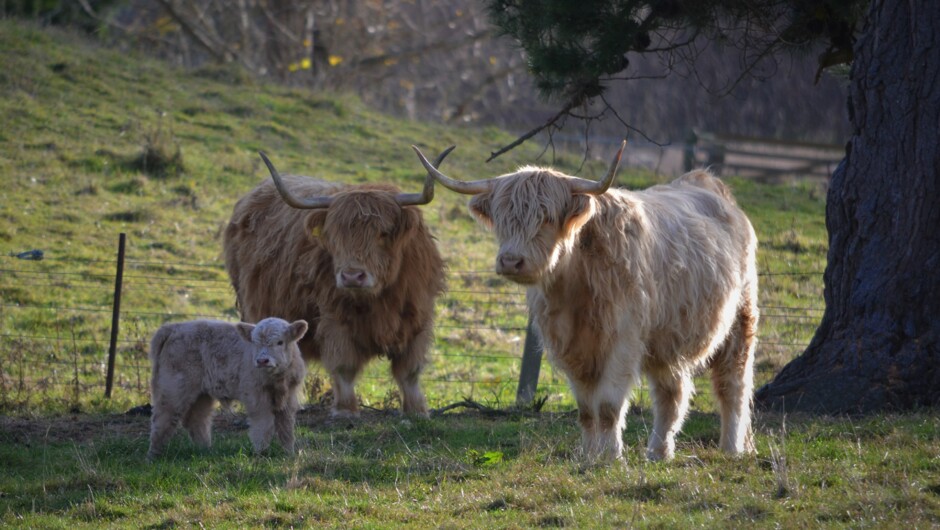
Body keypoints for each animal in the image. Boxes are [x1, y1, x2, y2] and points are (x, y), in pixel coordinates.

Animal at [148, 317, 308, 459]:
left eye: (280, 342)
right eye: (255, 343)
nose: (262, 360)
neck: (278, 380)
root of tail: (174, 327)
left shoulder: (289, 397)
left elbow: (286, 426)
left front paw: (288, 453)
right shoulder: (256, 397)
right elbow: (264, 424)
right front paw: (261, 452)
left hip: (202, 394)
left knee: (197, 419)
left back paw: (205, 450)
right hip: (173, 388)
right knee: (163, 419)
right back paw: (153, 456)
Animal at [223, 148, 452, 418]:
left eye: (383, 233)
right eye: (335, 235)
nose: (352, 276)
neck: (379, 298)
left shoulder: (417, 318)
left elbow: (409, 371)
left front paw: (417, 411)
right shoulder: (335, 319)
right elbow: (344, 366)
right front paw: (346, 410)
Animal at [412, 141, 758, 463]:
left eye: (546, 217)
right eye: (501, 218)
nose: (511, 261)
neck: (574, 287)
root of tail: (707, 182)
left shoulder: (623, 340)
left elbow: (607, 406)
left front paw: (611, 458)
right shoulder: (570, 346)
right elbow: (586, 409)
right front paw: (589, 456)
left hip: (740, 320)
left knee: (733, 386)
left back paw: (732, 448)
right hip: (665, 341)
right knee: (671, 394)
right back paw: (658, 453)